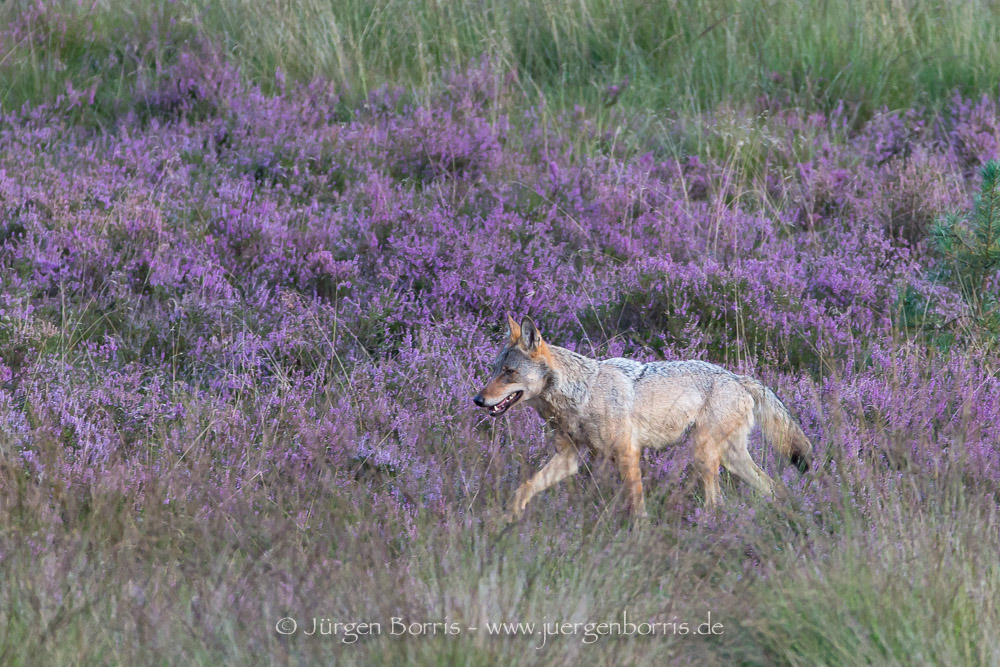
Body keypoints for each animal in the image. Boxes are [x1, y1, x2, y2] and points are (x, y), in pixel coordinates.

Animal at [470, 316, 812, 524]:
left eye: (509, 373)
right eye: (495, 369)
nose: (477, 400)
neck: (581, 394)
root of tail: (739, 377)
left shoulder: (627, 454)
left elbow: (636, 506)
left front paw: (639, 537)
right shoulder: (569, 458)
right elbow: (524, 488)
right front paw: (508, 519)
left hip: (703, 455)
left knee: (719, 503)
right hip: (729, 458)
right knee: (773, 487)